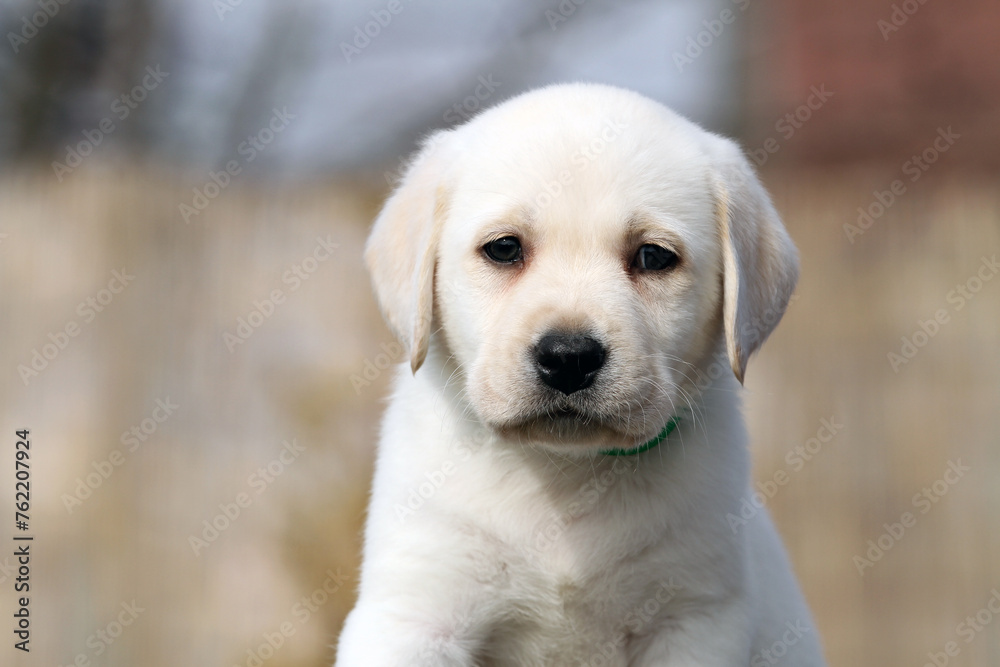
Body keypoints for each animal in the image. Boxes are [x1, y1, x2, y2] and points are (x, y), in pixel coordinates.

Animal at [340, 83, 824, 667]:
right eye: (504, 248)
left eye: (653, 256)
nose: (569, 356)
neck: (566, 473)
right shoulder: (415, 613)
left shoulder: (695, 617)